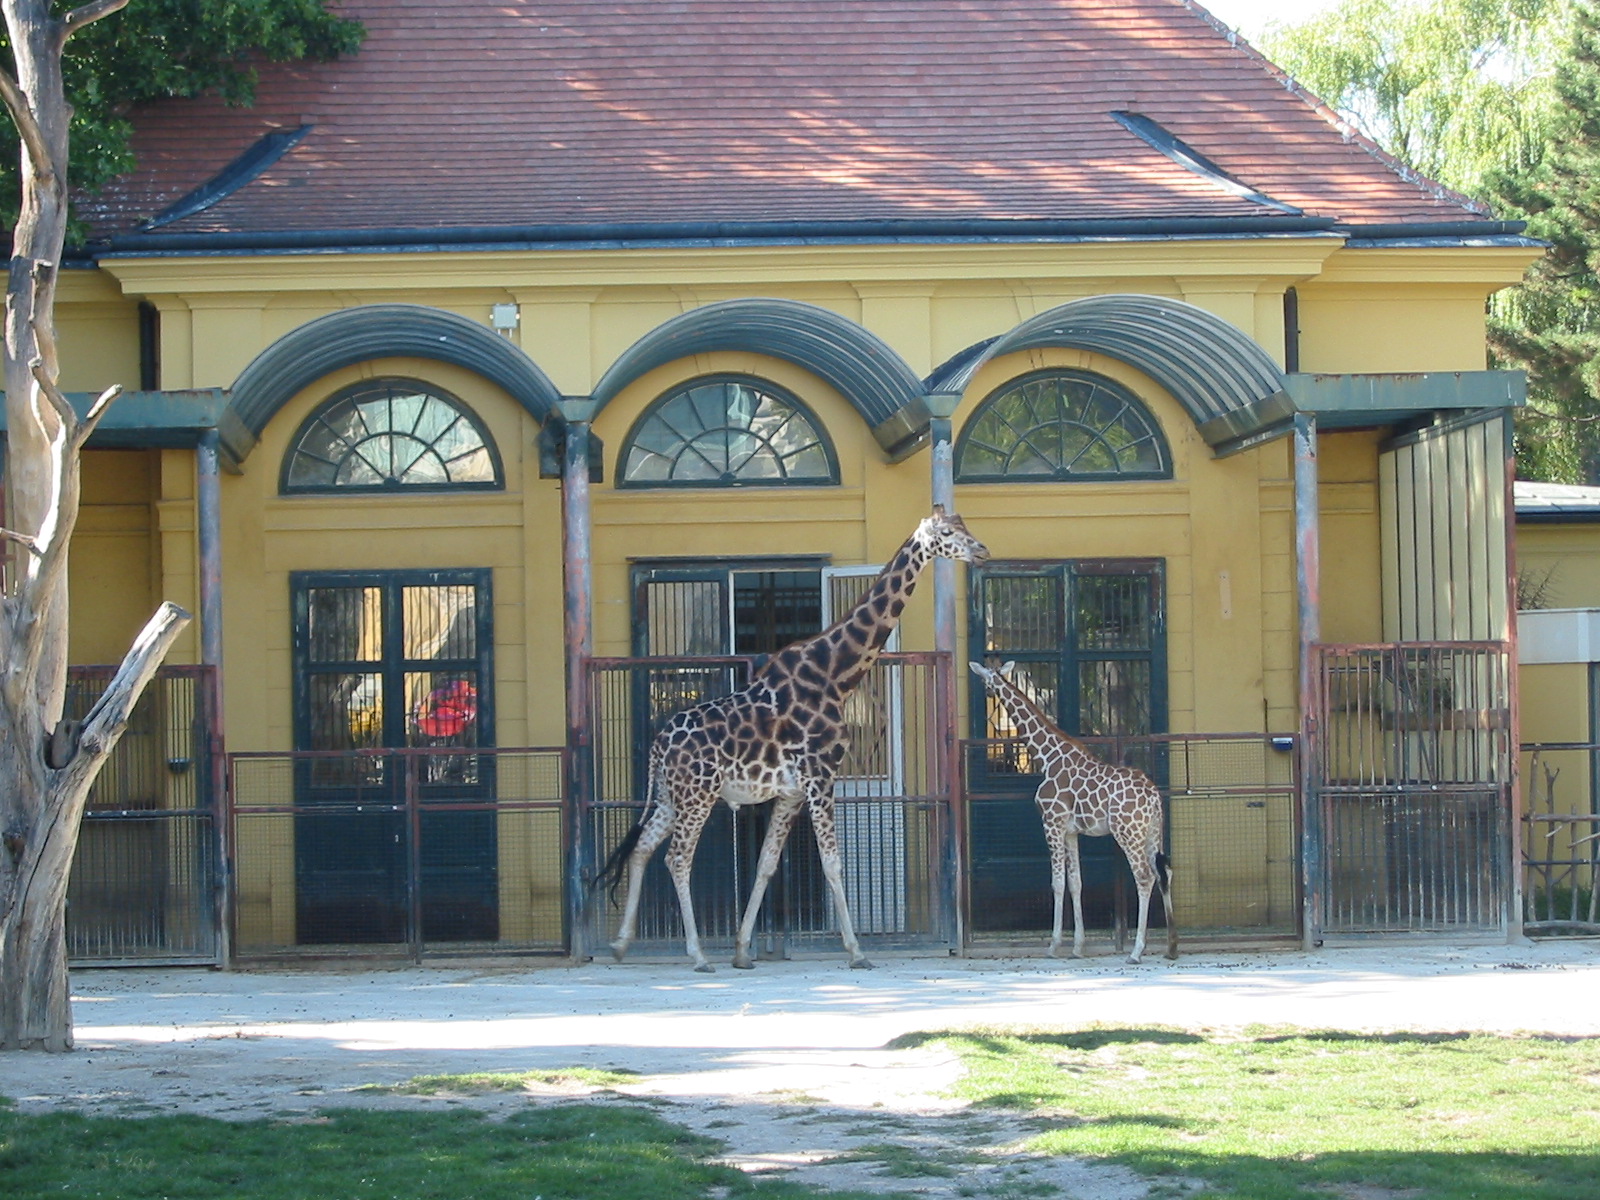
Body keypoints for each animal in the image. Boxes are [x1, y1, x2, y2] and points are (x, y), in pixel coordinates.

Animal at [596, 507, 990, 972]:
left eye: (966, 527)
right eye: (947, 533)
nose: (983, 550)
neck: (836, 676)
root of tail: (659, 745)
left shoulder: (790, 792)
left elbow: (767, 864)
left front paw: (743, 951)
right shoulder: (821, 776)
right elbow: (833, 864)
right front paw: (857, 952)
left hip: (670, 796)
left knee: (642, 847)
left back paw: (622, 945)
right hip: (698, 795)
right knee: (676, 858)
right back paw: (697, 954)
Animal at [969, 660, 1177, 964]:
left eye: (985, 679)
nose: (986, 692)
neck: (1047, 757)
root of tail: (1153, 797)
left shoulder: (1051, 823)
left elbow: (1057, 883)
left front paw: (1054, 945)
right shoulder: (1071, 832)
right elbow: (1076, 882)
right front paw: (1079, 946)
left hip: (1128, 833)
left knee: (1144, 876)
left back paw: (1137, 951)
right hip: (1151, 833)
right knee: (1164, 873)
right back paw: (1172, 948)